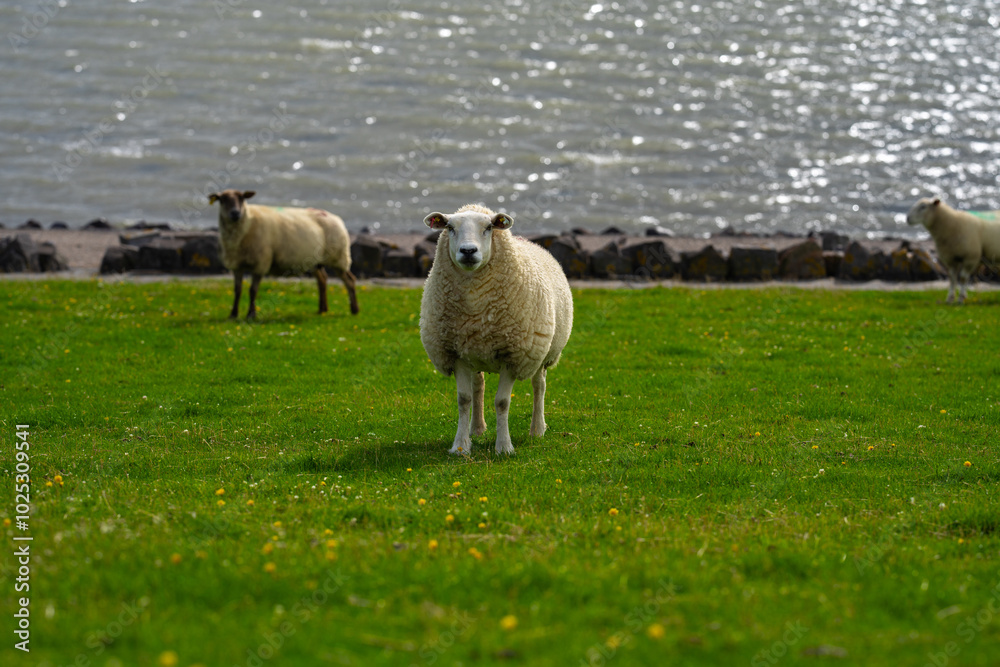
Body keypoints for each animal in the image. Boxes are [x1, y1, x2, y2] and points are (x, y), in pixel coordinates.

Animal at [208, 189, 359, 319]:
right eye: (222, 199)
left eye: (242, 198)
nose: (235, 213)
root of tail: (336, 217)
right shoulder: (237, 265)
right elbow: (237, 290)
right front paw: (233, 314)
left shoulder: (261, 263)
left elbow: (253, 290)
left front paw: (251, 314)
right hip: (315, 261)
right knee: (322, 279)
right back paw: (322, 309)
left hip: (338, 257)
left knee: (349, 280)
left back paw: (354, 310)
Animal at [419, 204, 573, 455]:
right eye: (450, 227)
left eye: (489, 227)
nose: (468, 251)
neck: (474, 306)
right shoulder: (456, 353)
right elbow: (464, 399)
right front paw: (461, 446)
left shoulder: (513, 355)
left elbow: (502, 402)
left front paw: (504, 447)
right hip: (475, 351)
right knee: (478, 386)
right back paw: (477, 428)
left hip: (541, 353)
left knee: (539, 386)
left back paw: (537, 429)